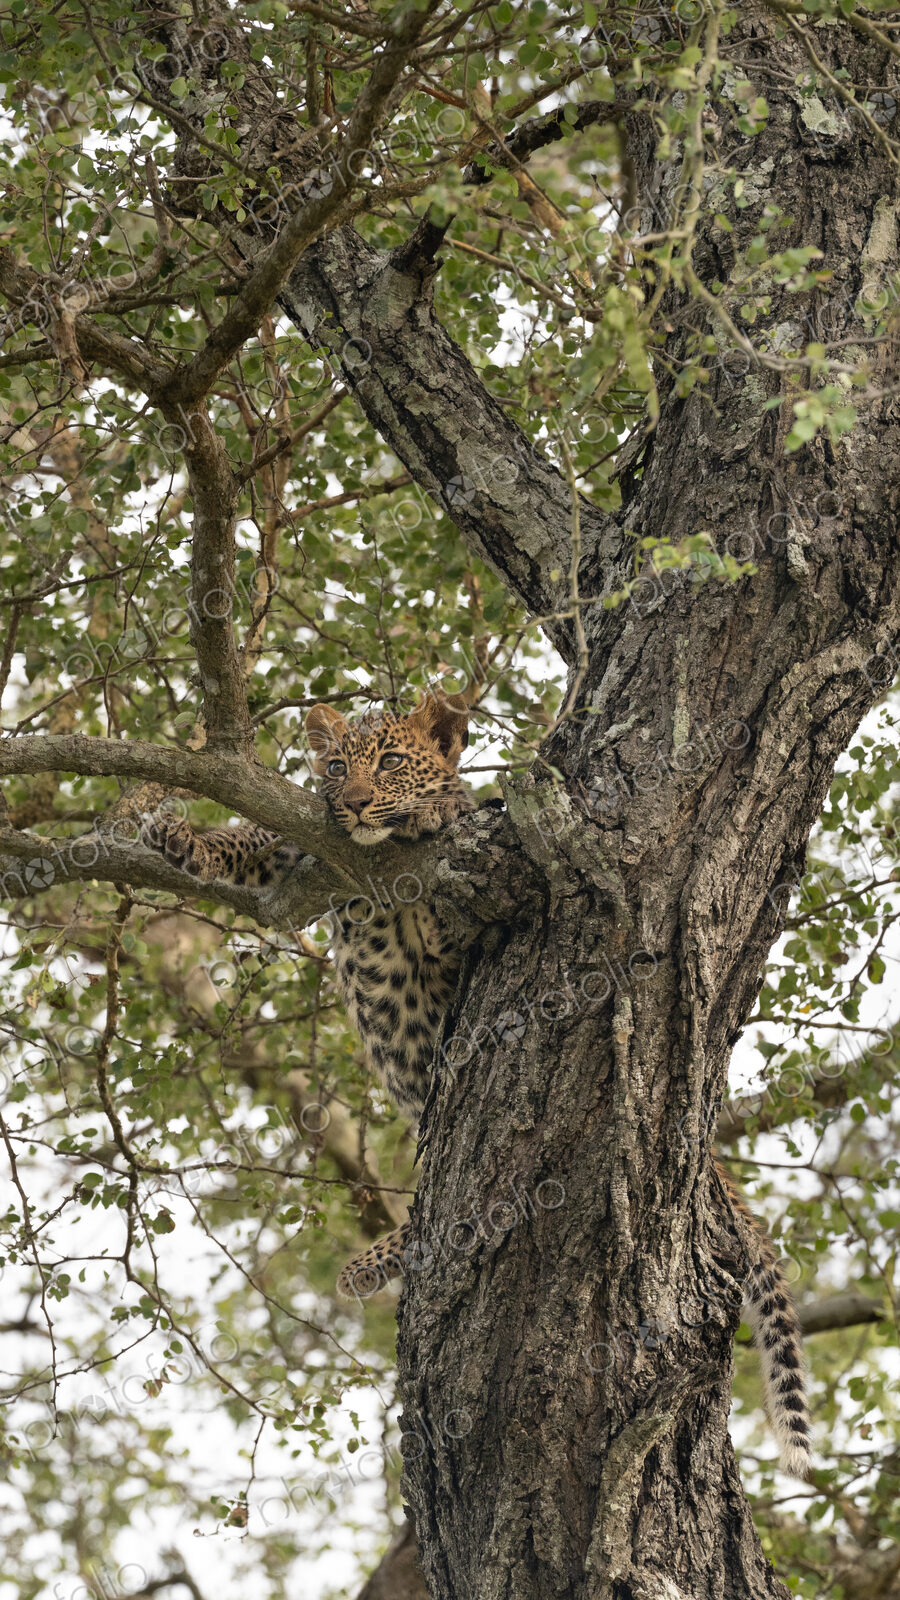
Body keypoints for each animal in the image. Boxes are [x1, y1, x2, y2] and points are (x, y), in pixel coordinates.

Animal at [143, 689, 811, 1478]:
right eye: (336, 766)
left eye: (390, 762)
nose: (358, 802)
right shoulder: (305, 852)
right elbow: (249, 837)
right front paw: (180, 836)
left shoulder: (453, 915)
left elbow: (449, 865)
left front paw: (432, 812)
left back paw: (369, 1263)